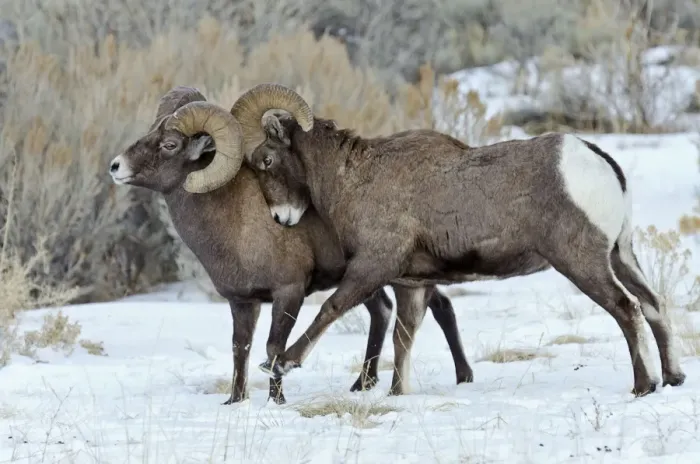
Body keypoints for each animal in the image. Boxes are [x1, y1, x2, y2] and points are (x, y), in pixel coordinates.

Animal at [107, 86, 474, 403]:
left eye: (169, 144)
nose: (115, 167)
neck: (233, 220)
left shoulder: (288, 293)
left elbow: (274, 348)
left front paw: (277, 401)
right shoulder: (242, 302)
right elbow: (240, 349)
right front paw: (235, 401)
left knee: (430, 310)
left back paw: (462, 377)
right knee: (394, 311)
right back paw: (364, 384)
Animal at [225, 83, 686, 397]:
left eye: (266, 160)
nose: (281, 218)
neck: (352, 179)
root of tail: (595, 159)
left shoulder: (373, 266)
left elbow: (331, 310)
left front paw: (281, 364)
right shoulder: (412, 285)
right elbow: (404, 339)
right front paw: (398, 394)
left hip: (582, 262)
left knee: (626, 309)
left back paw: (643, 385)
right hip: (621, 255)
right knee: (652, 304)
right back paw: (673, 377)